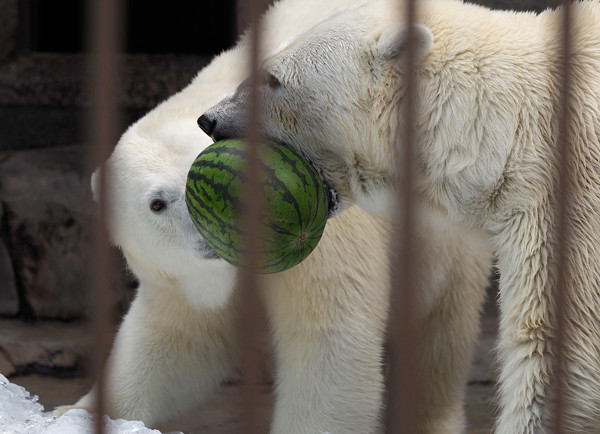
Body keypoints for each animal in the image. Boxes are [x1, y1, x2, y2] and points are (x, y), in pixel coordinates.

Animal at [54, 0, 492, 434]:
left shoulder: (323, 234)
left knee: (439, 332)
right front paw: (74, 413)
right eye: (157, 203)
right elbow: (175, 340)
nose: (213, 231)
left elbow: (328, 340)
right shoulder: (186, 277)